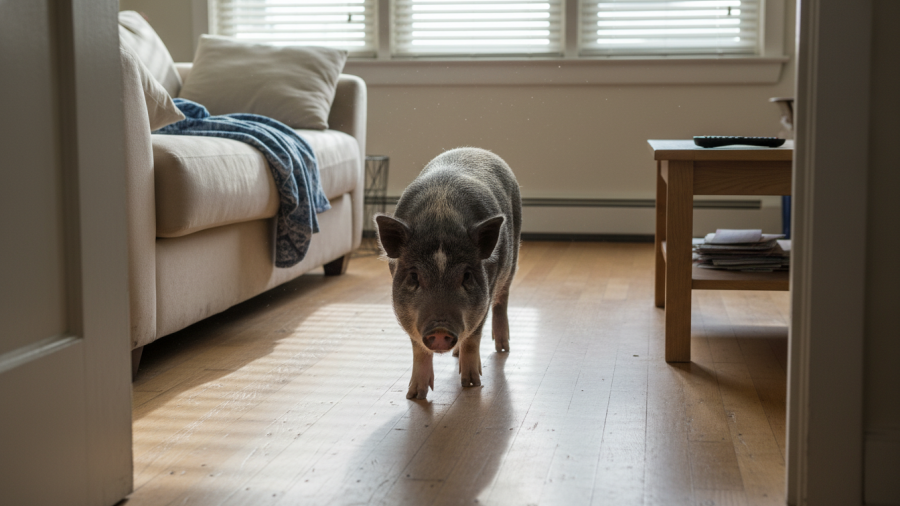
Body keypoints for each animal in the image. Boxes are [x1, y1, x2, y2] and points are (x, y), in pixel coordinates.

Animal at [375, 147, 522, 400]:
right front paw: (414, 396)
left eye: (467, 276)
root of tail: (476, 149)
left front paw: (472, 384)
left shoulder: (485, 297)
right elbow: (418, 348)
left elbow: (473, 339)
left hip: (512, 261)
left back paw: (503, 348)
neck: (440, 216)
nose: (440, 329)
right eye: (414, 276)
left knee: (502, 301)